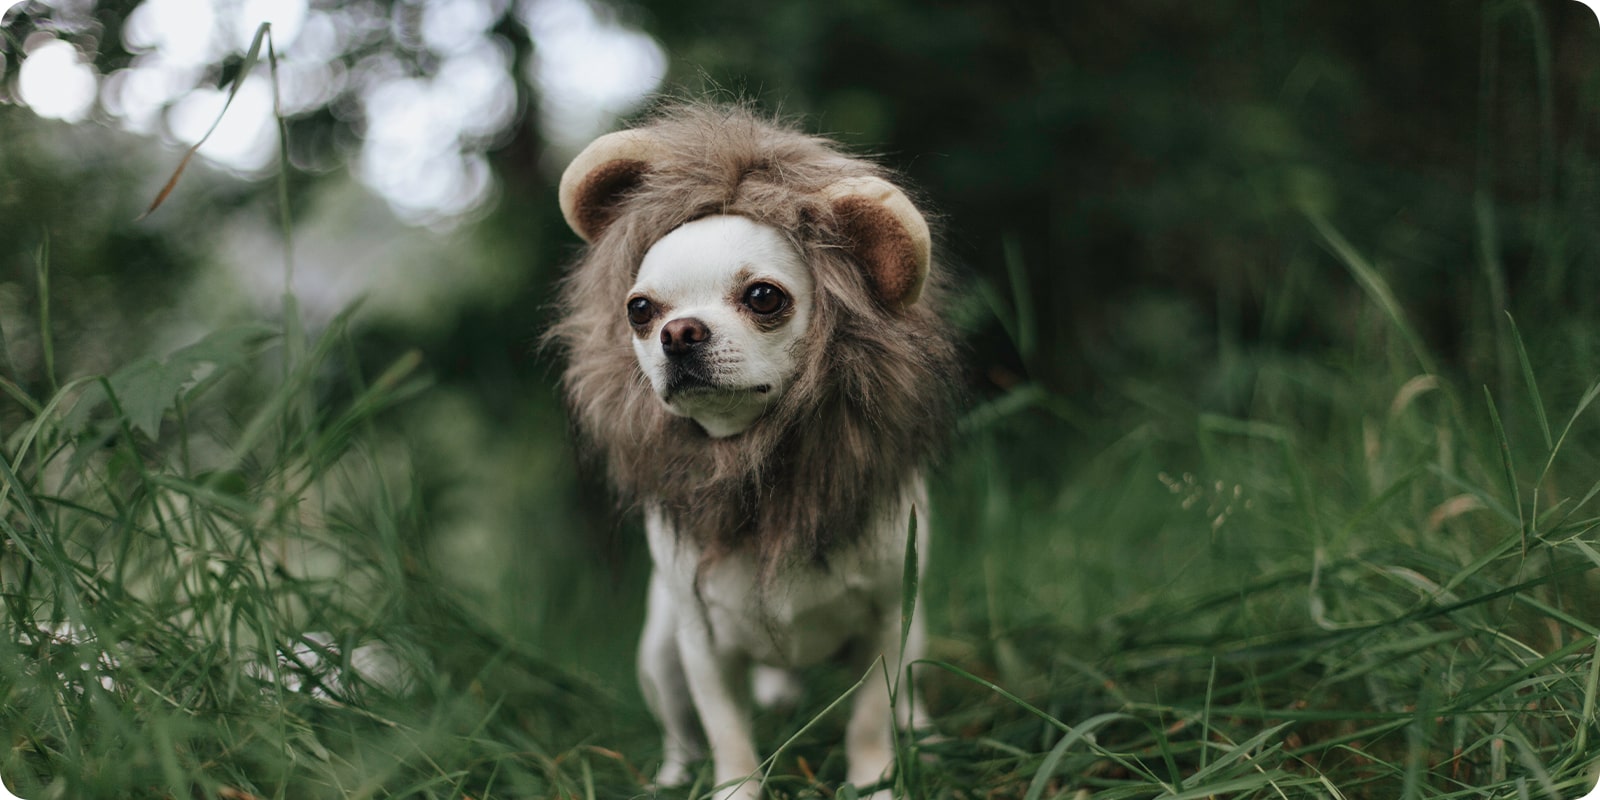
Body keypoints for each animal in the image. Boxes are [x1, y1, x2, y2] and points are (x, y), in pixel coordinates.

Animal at [550, 106, 953, 800]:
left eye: (764, 297)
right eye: (638, 309)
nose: (678, 332)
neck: (761, 473)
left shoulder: (884, 625)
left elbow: (869, 719)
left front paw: (874, 781)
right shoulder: (705, 648)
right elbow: (728, 733)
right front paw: (735, 790)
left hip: (912, 623)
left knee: (904, 694)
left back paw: (920, 733)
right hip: (661, 656)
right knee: (681, 726)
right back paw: (673, 775)